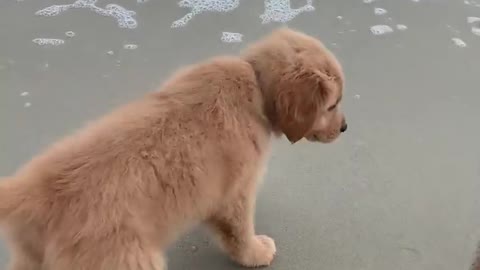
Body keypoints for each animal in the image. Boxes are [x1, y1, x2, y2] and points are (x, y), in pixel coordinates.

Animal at [0, 28, 346, 270]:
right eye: (332, 105)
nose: (344, 128)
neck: (255, 83)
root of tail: (34, 193)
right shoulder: (235, 193)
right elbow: (239, 230)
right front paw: (256, 252)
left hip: (31, 259)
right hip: (127, 259)